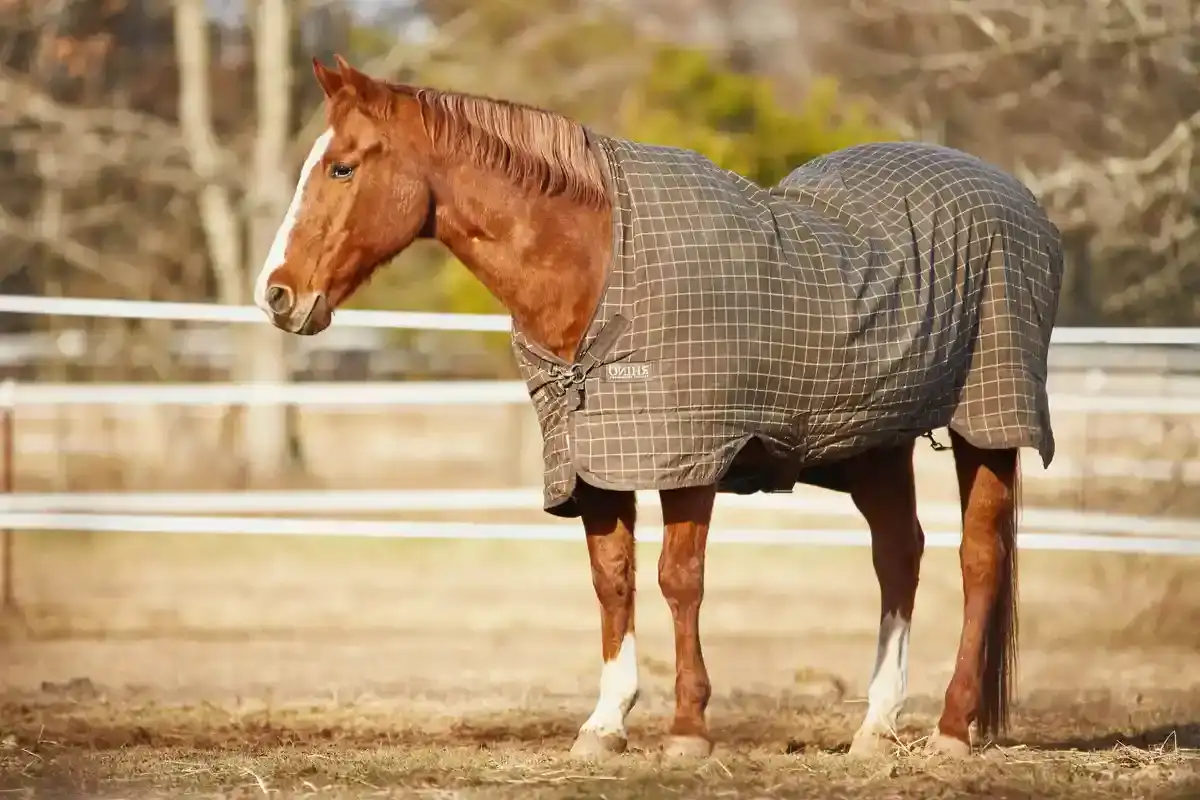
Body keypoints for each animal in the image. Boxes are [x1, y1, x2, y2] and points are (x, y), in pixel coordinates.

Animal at [253, 55, 1064, 762]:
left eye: (342, 166)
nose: (278, 295)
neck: (596, 271)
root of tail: (1019, 201)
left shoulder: (689, 458)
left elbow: (680, 580)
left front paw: (688, 730)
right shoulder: (595, 461)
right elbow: (613, 579)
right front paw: (605, 724)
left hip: (988, 424)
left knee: (979, 560)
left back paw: (952, 728)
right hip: (873, 442)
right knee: (899, 555)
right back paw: (875, 727)